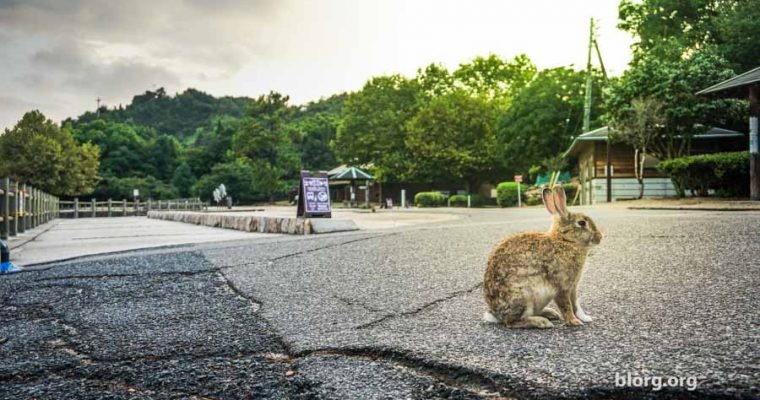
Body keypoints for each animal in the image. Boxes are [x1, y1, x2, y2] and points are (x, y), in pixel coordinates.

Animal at [483, 186, 602, 328]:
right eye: (582, 223)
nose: (600, 237)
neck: (565, 241)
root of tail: (496, 315)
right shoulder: (561, 286)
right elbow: (566, 305)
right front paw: (574, 322)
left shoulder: (573, 286)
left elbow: (575, 304)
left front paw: (585, 318)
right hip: (523, 297)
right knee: (511, 322)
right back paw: (541, 322)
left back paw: (550, 313)